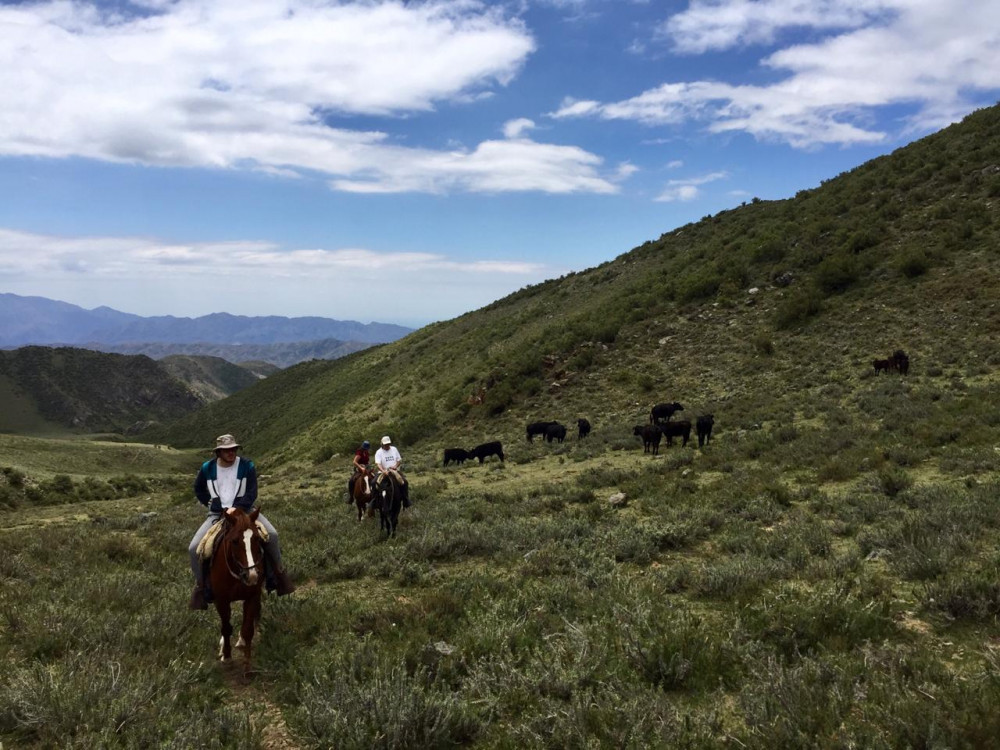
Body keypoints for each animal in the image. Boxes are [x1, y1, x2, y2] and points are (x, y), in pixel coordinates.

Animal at [208, 508, 266, 680]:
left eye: (257, 538)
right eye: (234, 541)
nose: (252, 575)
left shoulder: (252, 596)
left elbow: (247, 631)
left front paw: (247, 667)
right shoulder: (221, 600)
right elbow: (226, 628)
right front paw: (227, 657)